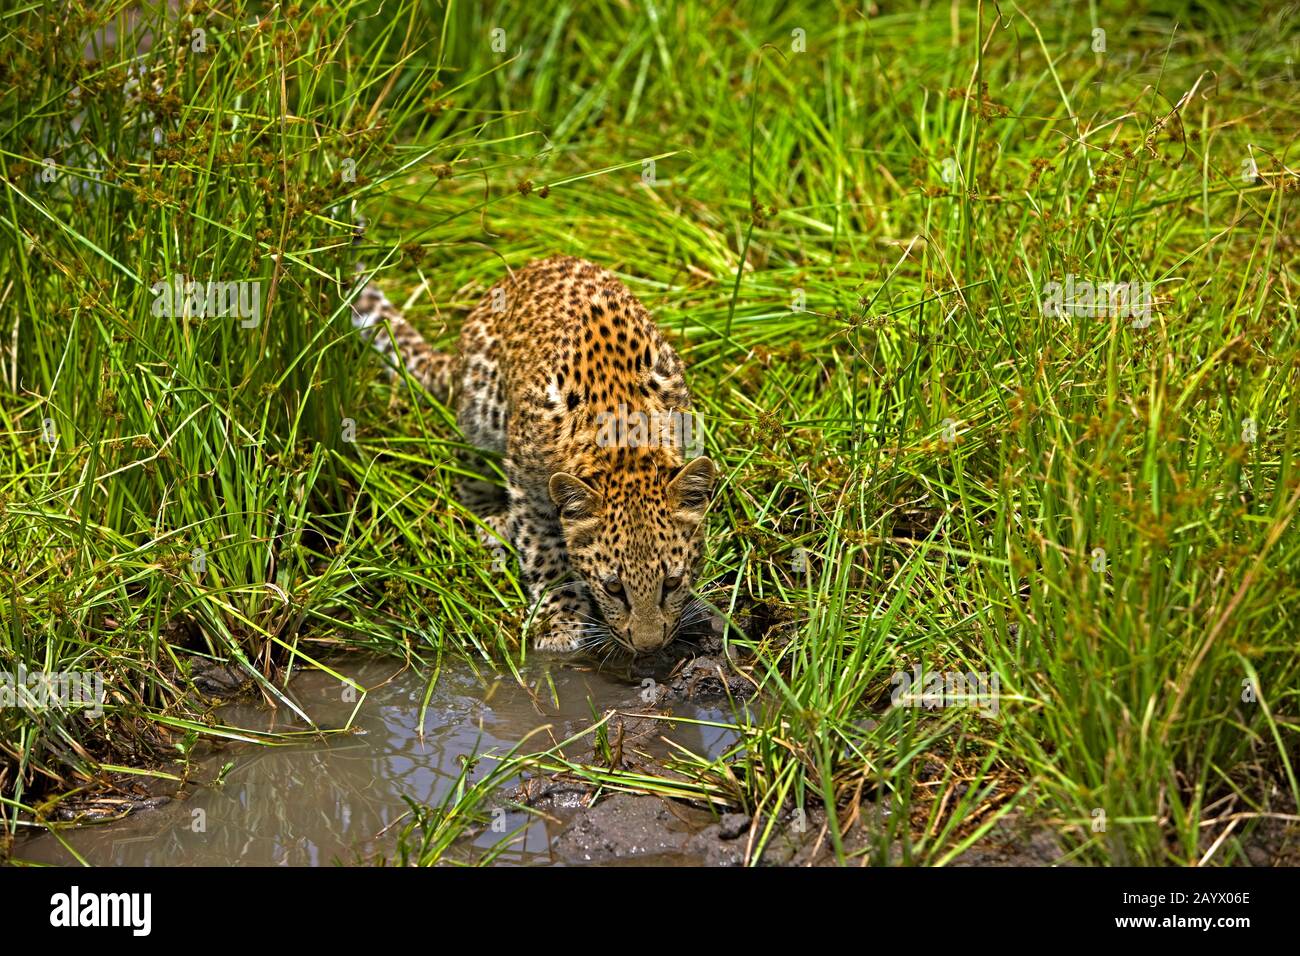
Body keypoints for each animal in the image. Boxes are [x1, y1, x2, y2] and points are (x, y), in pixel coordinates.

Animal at [356, 256, 717, 658]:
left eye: (671, 583)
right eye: (613, 588)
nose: (649, 647)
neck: (625, 444)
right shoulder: (527, 488)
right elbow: (545, 555)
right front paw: (559, 623)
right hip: (483, 411)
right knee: (469, 471)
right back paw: (492, 521)